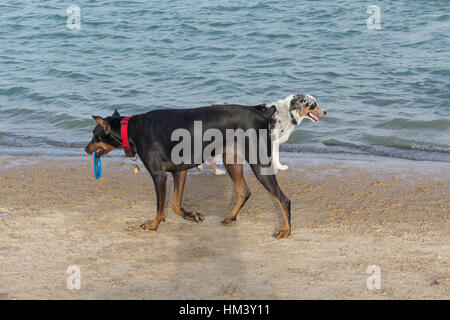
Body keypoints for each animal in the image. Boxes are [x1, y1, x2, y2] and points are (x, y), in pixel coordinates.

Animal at [86, 106, 294, 239]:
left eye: (95, 136)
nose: (86, 149)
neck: (130, 129)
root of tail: (263, 114)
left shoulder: (158, 175)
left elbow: (161, 208)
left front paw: (153, 225)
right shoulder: (180, 171)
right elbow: (175, 205)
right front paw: (192, 215)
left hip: (259, 163)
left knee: (283, 200)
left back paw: (285, 231)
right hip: (231, 160)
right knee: (244, 191)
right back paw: (229, 217)